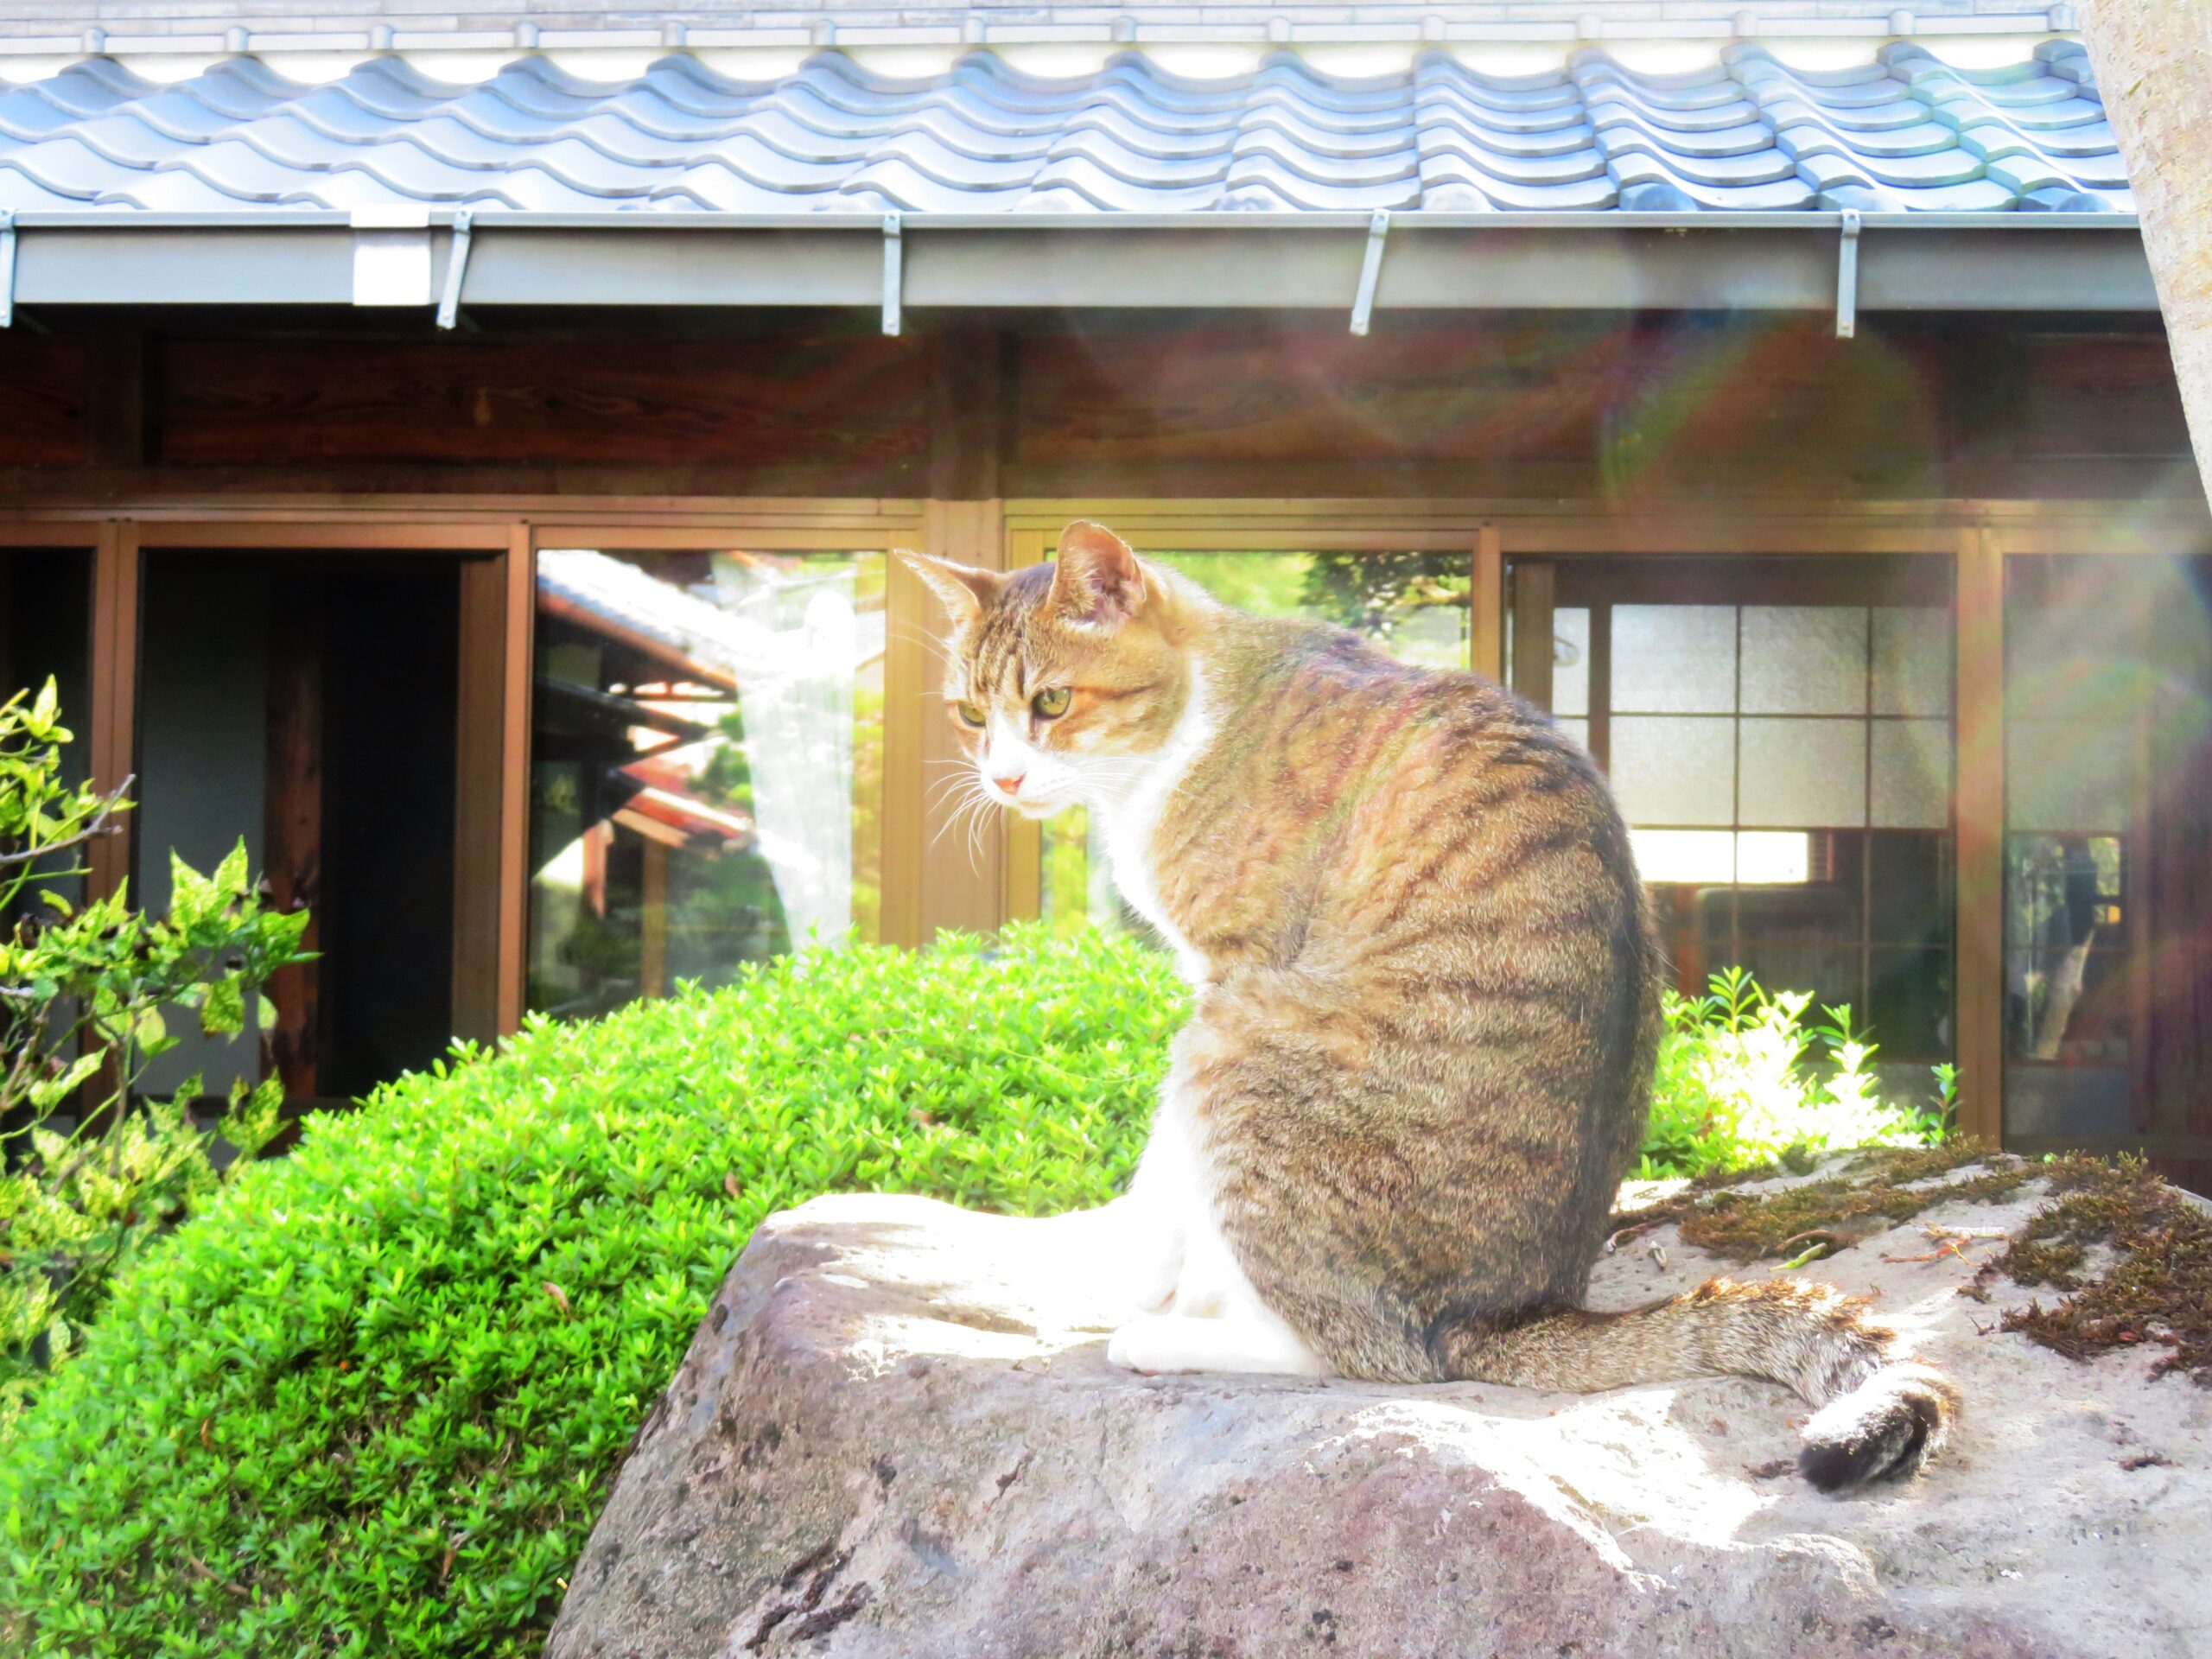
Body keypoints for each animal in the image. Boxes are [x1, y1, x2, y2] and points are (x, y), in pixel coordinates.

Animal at [898, 519, 1955, 1495]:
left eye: (1051, 701)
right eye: (969, 713)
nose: (1001, 777)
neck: (1198, 710)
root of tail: (1504, 1313)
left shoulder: (1230, 977)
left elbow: (1168, 1174)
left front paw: (1147, 1280)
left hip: (1239, 1048)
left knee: (1366, 1350)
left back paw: (1168, 1339)